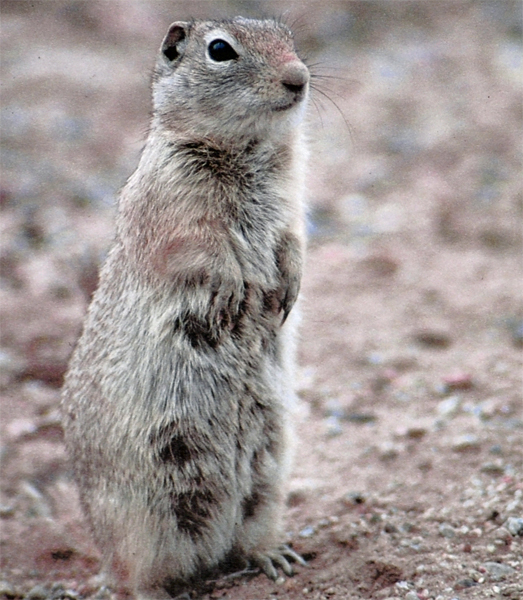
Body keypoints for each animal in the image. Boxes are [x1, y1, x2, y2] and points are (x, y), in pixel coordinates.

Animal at [61, 16, 310, 596]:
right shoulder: (175, 203)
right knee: (134, 574)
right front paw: (234, 291)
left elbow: (292, 241)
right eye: (220, 50)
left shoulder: (291, 202)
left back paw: (275, 556)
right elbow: (203, 249)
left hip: (269, 476)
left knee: (245, 536)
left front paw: (287, 286)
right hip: (141, 514)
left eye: (288, 36)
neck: (246, 147)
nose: (300, 78)